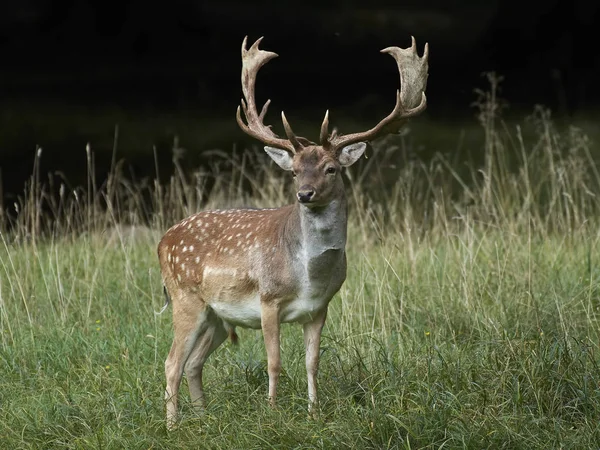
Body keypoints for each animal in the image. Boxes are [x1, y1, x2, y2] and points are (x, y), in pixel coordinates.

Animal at [157, 35, 428, 428]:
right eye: (295, 170)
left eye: (331, 168)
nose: (305, 194)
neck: (309, 276)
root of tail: (163, 240)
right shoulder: (268, 300)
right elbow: (275, 363)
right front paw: (273, 414)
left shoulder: (320, 308)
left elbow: (313, 363)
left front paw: (314, 414)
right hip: (185, 297)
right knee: (171, 362)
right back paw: (173, 426)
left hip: (218, 315)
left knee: (193, 363)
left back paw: (203, 419)